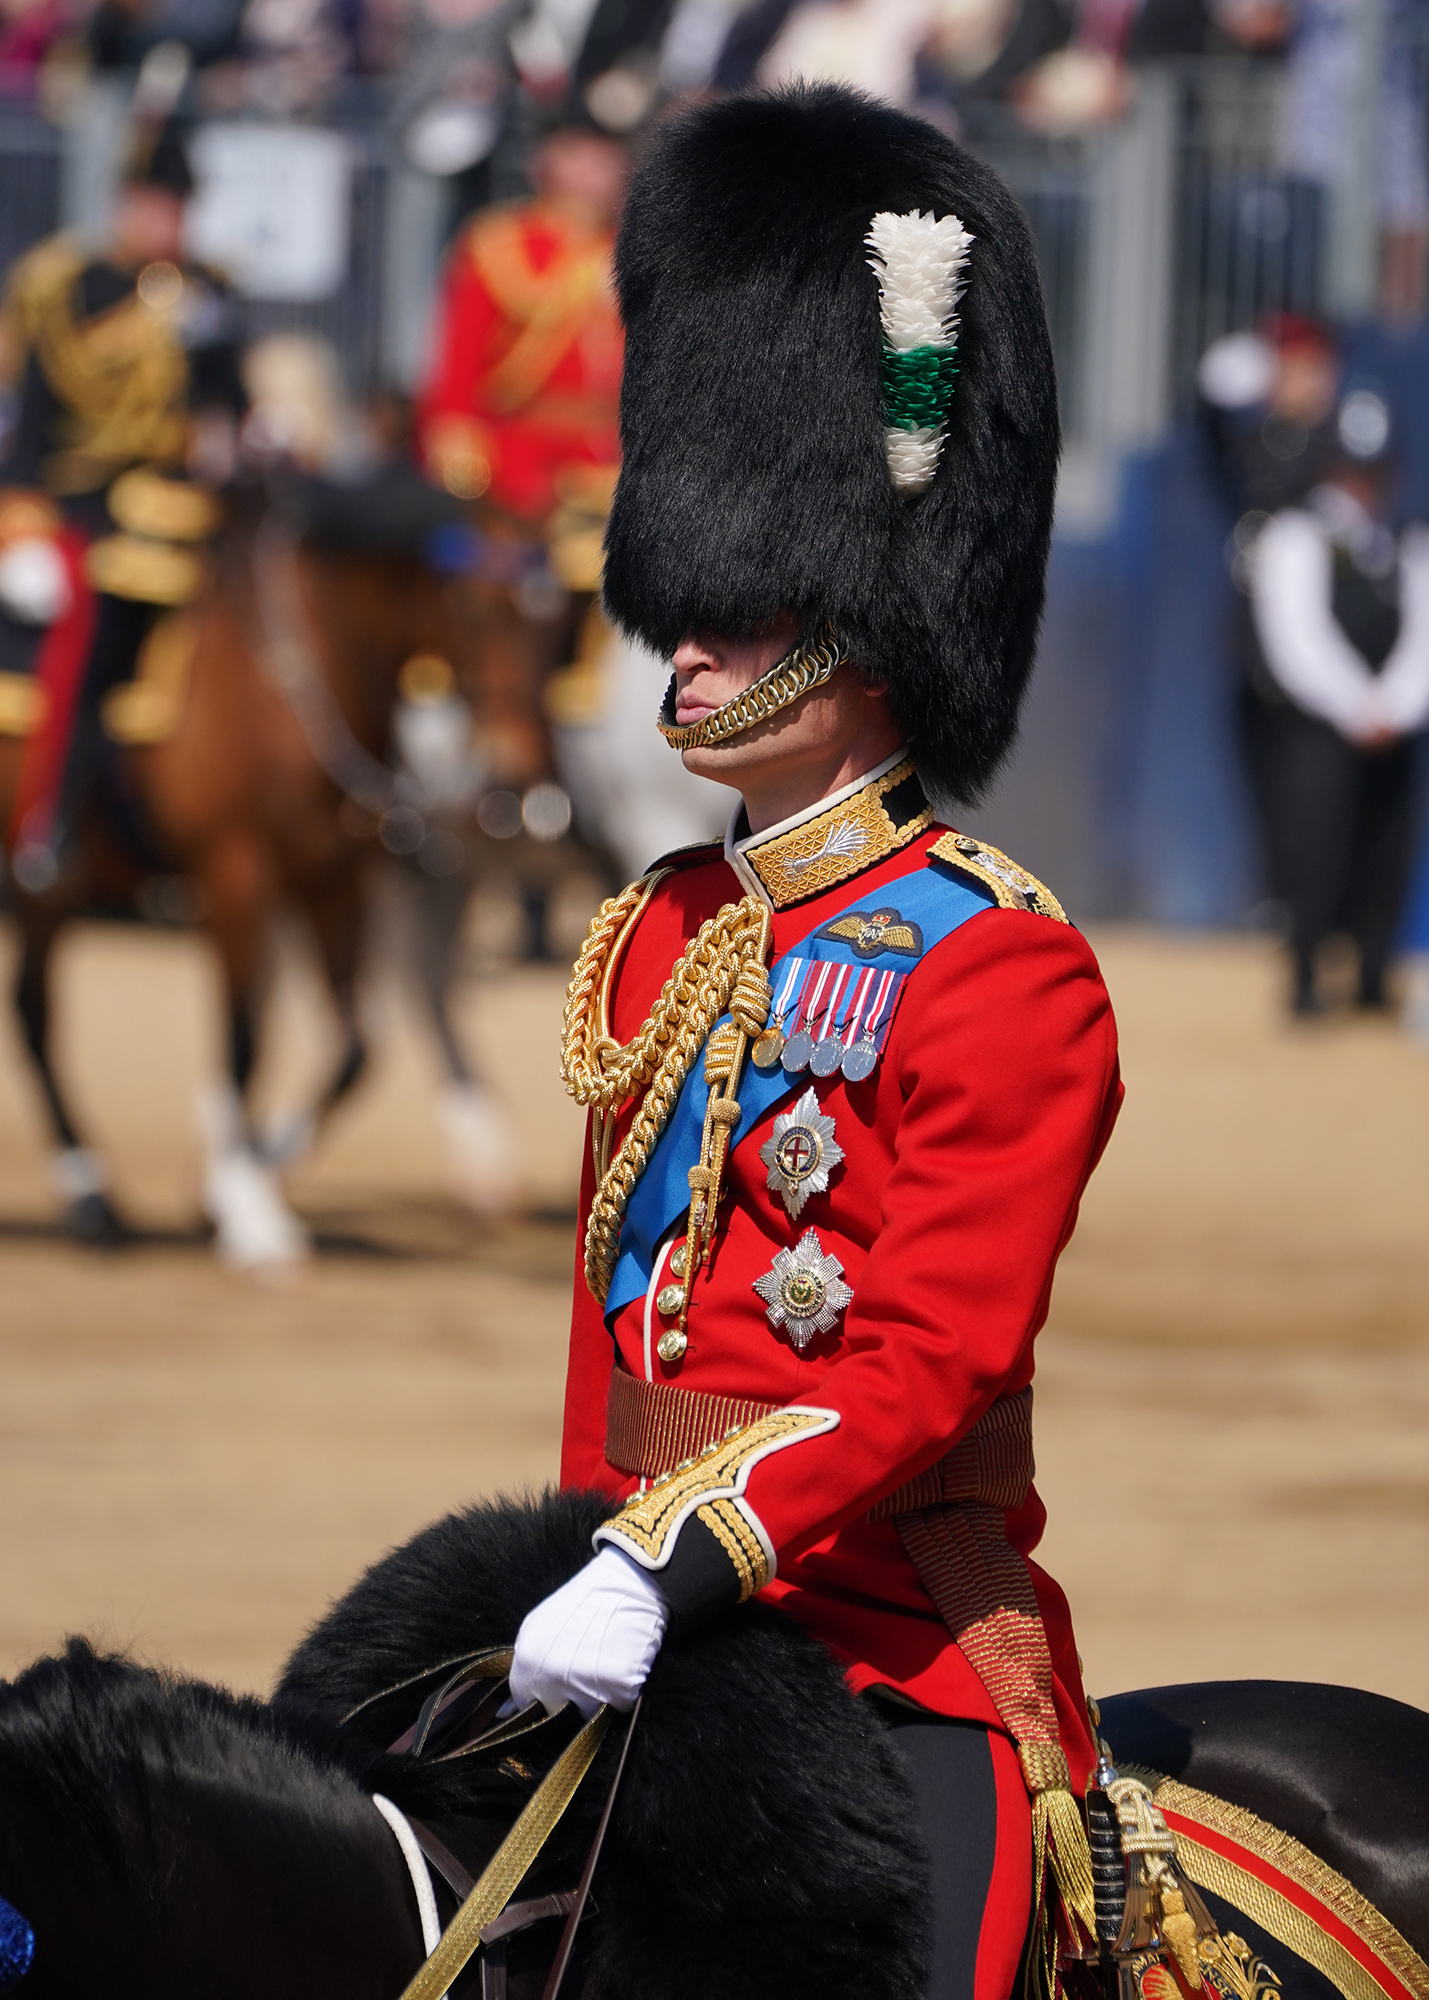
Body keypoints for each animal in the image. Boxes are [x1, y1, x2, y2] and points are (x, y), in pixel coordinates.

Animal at [0, 474, 490, 1256]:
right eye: (477, 601)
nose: (522, 770)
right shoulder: (237, 876)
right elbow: (242, 1039)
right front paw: (246, 1209)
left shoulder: (333, 883)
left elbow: (354, 1048)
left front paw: (237, 1185)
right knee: (36, 1013)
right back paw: (89, 1190)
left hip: (46, 896)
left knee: (31, 1012)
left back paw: (92, 1193)